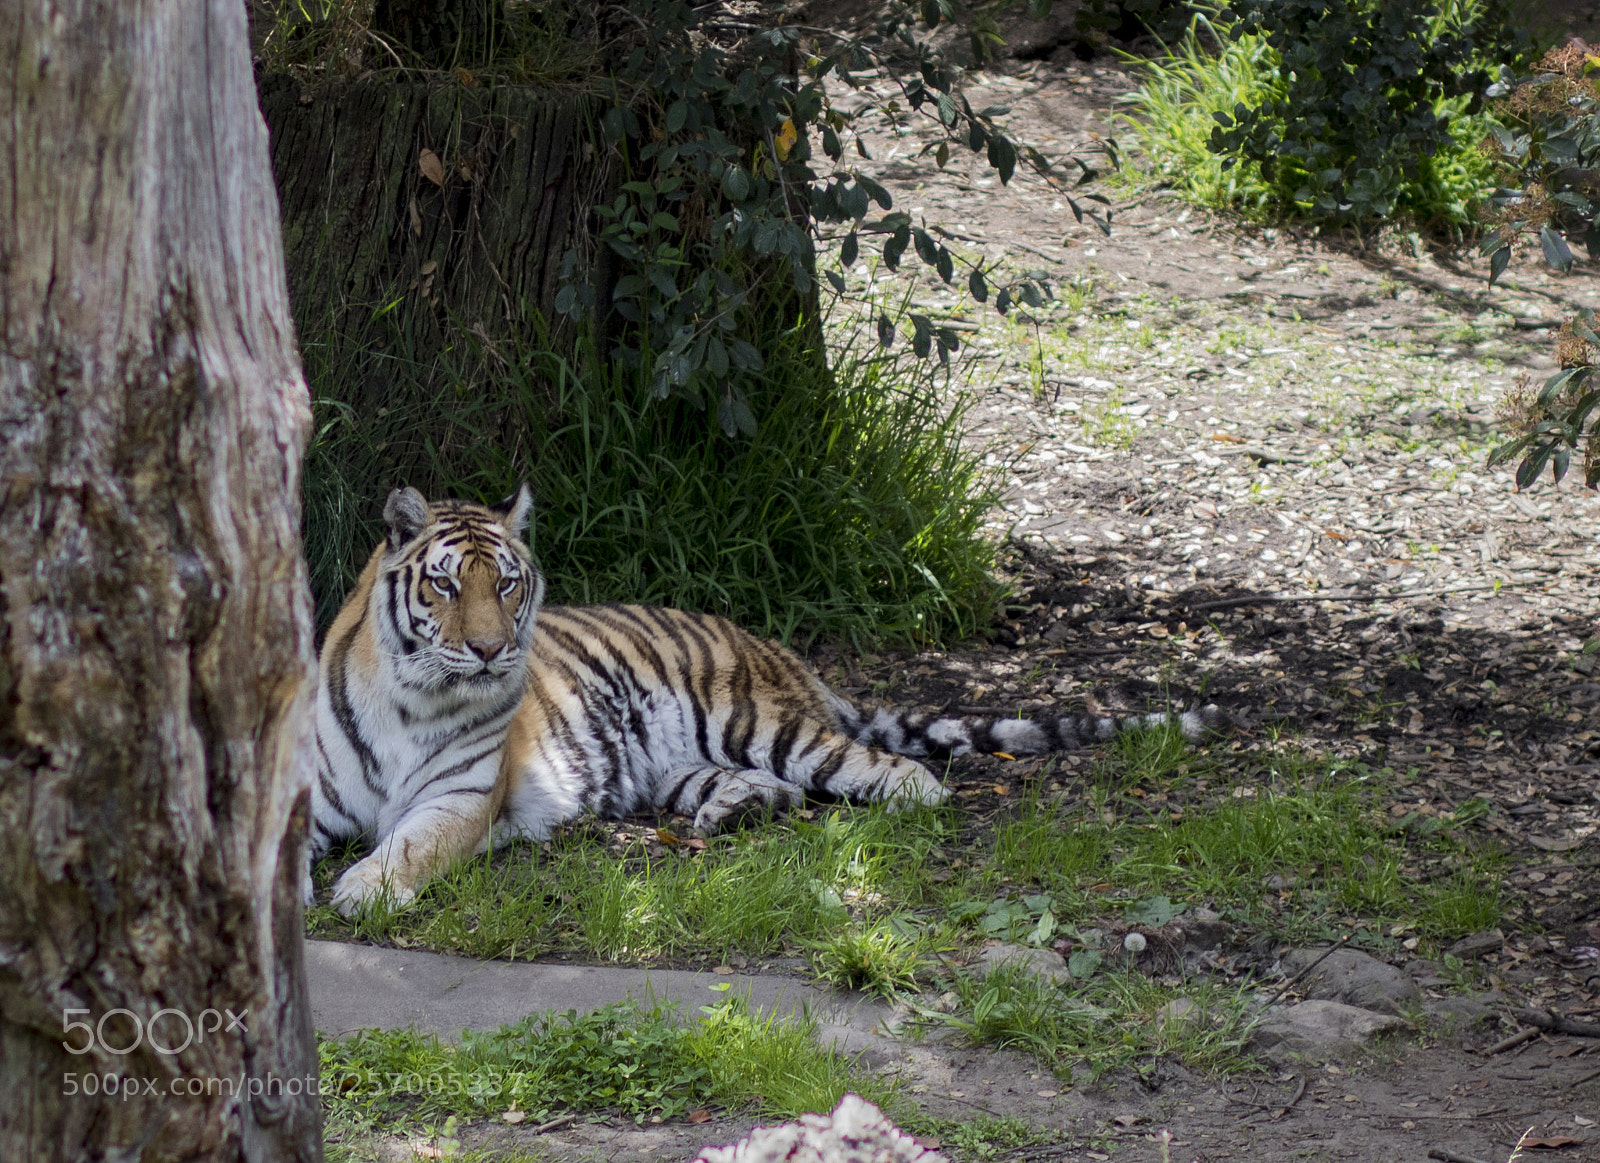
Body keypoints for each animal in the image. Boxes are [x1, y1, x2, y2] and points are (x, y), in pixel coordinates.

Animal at [309, 486, 1226, 914]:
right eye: (445, 585)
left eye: (505, 584)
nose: (492, 648)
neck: (410, 698)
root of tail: (778, 648)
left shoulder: (458, 799)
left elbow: (409, 845)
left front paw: (361, 888)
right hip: (672, 763)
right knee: (772, 790)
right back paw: (729, 814)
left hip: (758, 722)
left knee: (897, 772)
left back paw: (897, 804)